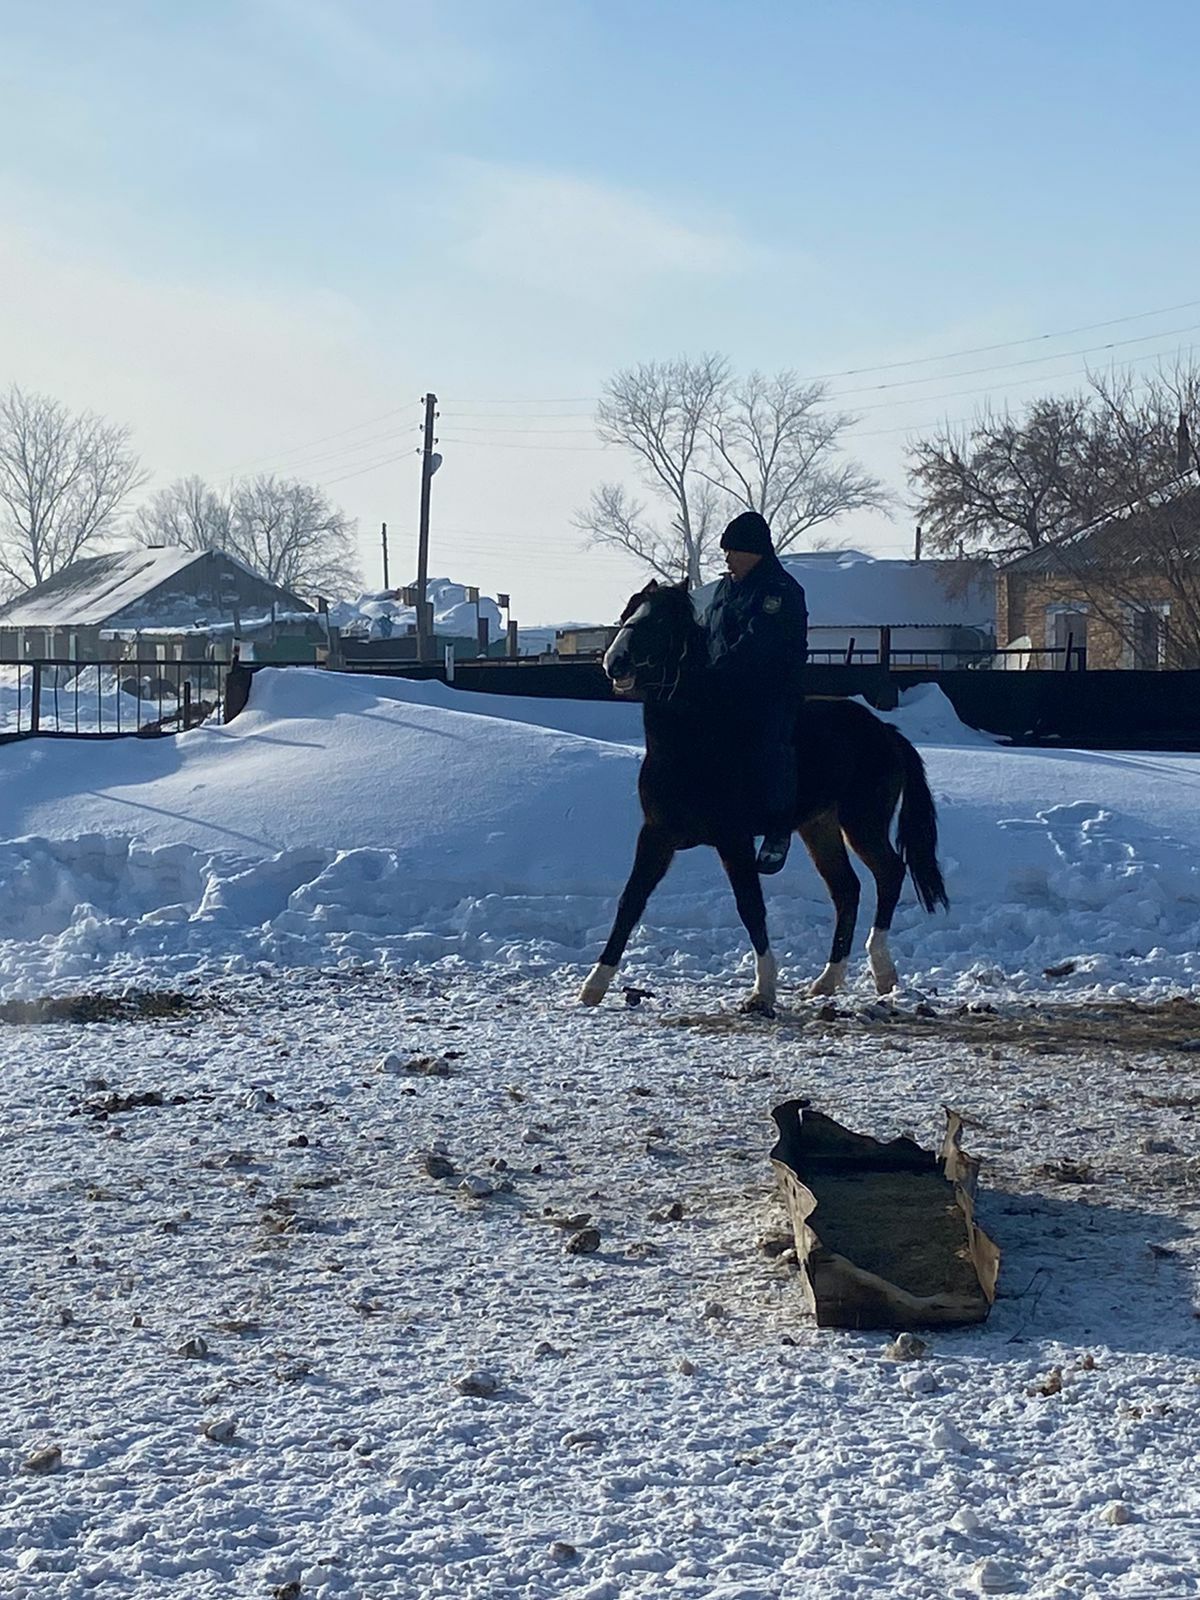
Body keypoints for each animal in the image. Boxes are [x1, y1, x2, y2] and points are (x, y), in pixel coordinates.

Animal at [579, 585, 953, 1011]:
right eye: (627, 613)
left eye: (658, 620)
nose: (614, 662)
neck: (693, 742)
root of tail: (884, 730)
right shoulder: (657, 835)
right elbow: (631, 901)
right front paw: (594, 984)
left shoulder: (733, 839)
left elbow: (750, 906)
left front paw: (763, 988)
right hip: (820, 828)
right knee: (847, 889)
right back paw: (827, 980)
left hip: (863, 823)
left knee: (889, 873)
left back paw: (883, 971)